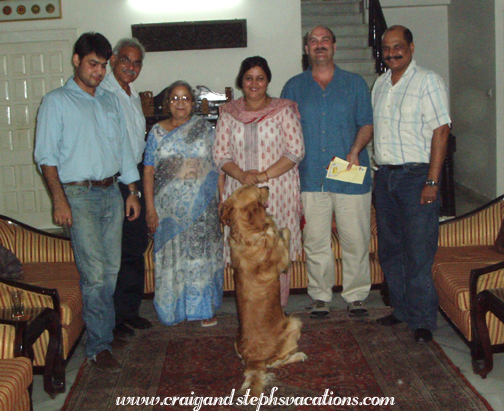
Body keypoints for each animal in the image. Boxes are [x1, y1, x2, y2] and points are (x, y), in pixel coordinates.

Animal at [221, 186, 308, 396]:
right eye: (257, 189)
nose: (267, 186)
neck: (246, 232)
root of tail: (254, 361)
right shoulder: (283, 261)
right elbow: (284, 231)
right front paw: (279, 229)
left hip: (237, 344)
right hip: (294, 323)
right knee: (277, 362)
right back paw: (299, 355)